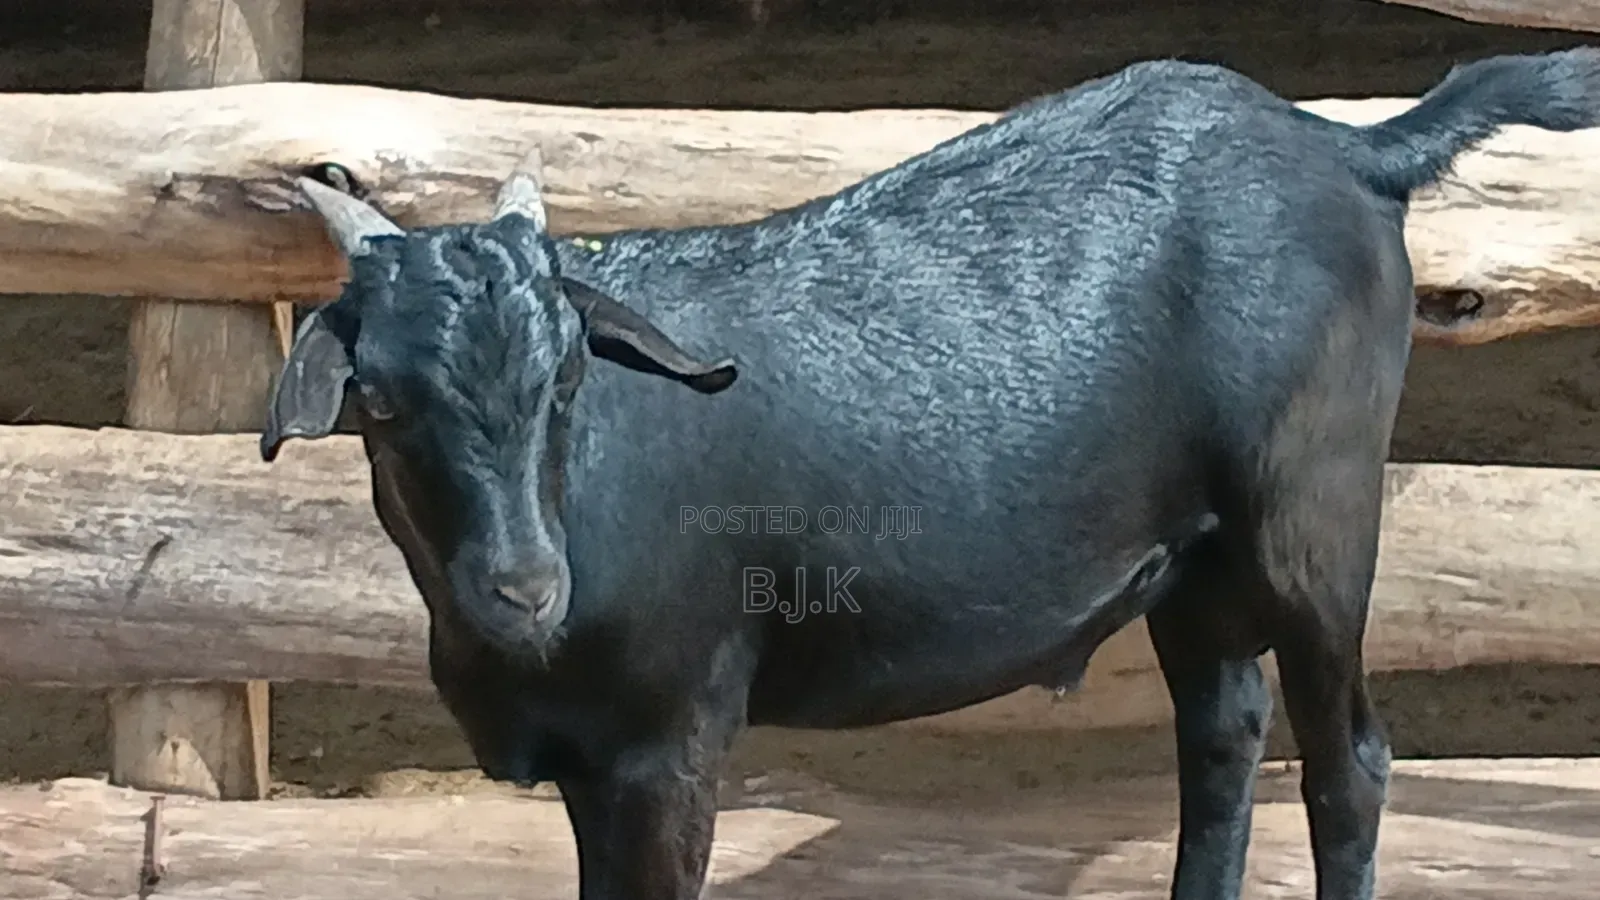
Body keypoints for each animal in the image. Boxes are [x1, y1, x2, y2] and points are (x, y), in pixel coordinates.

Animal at [260, 49, 1600, 900]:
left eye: (569, 380)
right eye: (379, 400)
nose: (526, 588)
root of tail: (1345, 146)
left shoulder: (668, 733)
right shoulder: (592, 760)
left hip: (1313, 515)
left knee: (1348, 765)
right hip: (1194, 557)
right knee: (1222, 738)